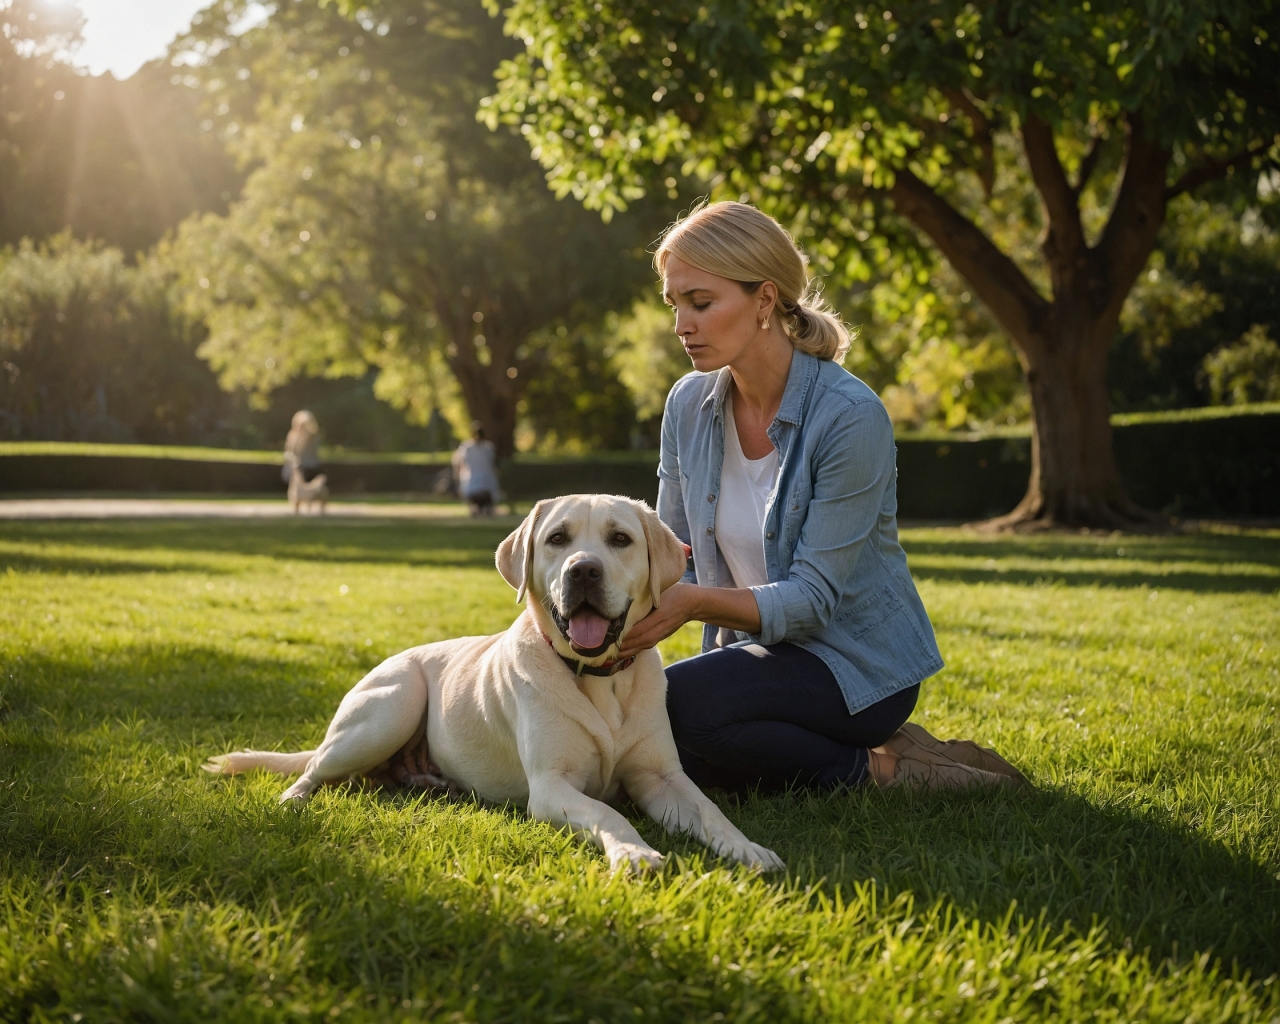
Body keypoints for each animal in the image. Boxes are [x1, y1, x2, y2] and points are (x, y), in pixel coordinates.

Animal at [204, 496, 783, 870]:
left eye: (620, 539)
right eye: (557, 539)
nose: (583, 571)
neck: (598, 679)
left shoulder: (662, 778)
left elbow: (711, 813)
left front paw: (749, 849)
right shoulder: (551, 788)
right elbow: (606, 813)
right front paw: (635, 850)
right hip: (392, 707)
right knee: (312, 771)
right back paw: (292, 803)